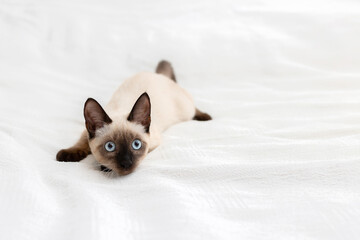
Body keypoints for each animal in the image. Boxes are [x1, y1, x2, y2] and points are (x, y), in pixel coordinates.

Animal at [57, 61, 211, 175]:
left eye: (136, 145)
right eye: (110, 147)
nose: (126, 163)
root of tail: (158, 75)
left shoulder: (154, 142)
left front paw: (105, 167)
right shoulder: (86, 132)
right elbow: (81, 142)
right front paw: (68, 155)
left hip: (185, 109)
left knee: (193, 107)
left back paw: (205, 117)